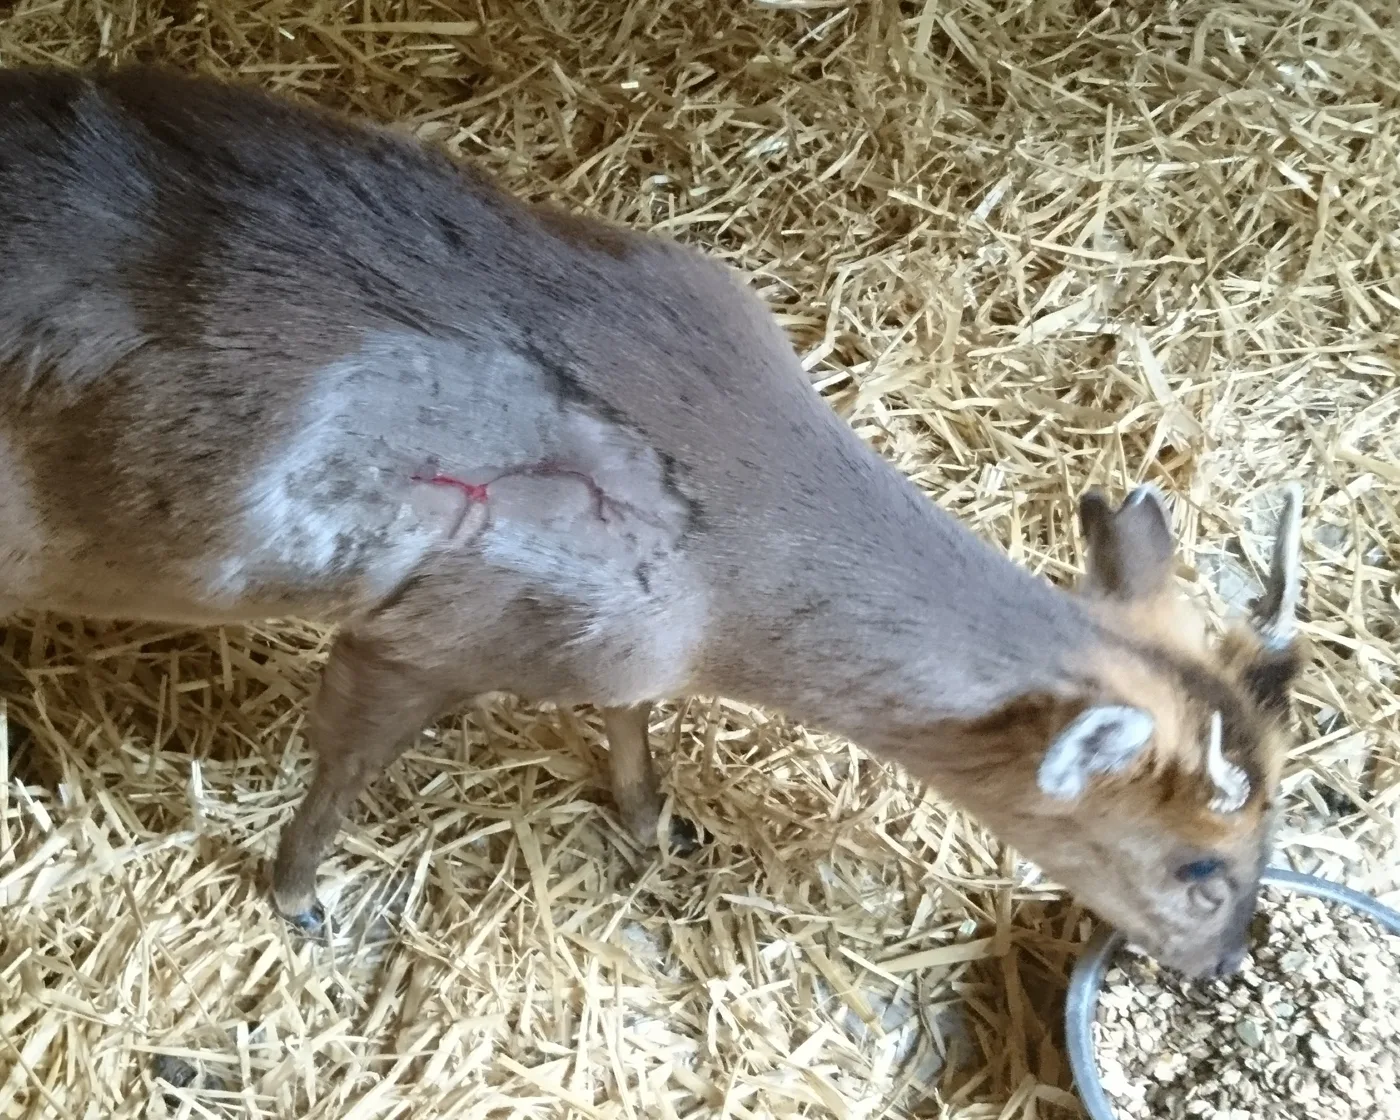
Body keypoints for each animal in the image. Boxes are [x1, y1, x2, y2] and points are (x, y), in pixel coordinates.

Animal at [0, 64, 1306, 978]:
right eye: (1199, 862)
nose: (1223, 965)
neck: (728, 569)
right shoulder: (424, 628)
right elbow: (346, 767)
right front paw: (298, 898)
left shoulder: (602, 644)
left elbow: (630, 716)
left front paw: (652, 821)